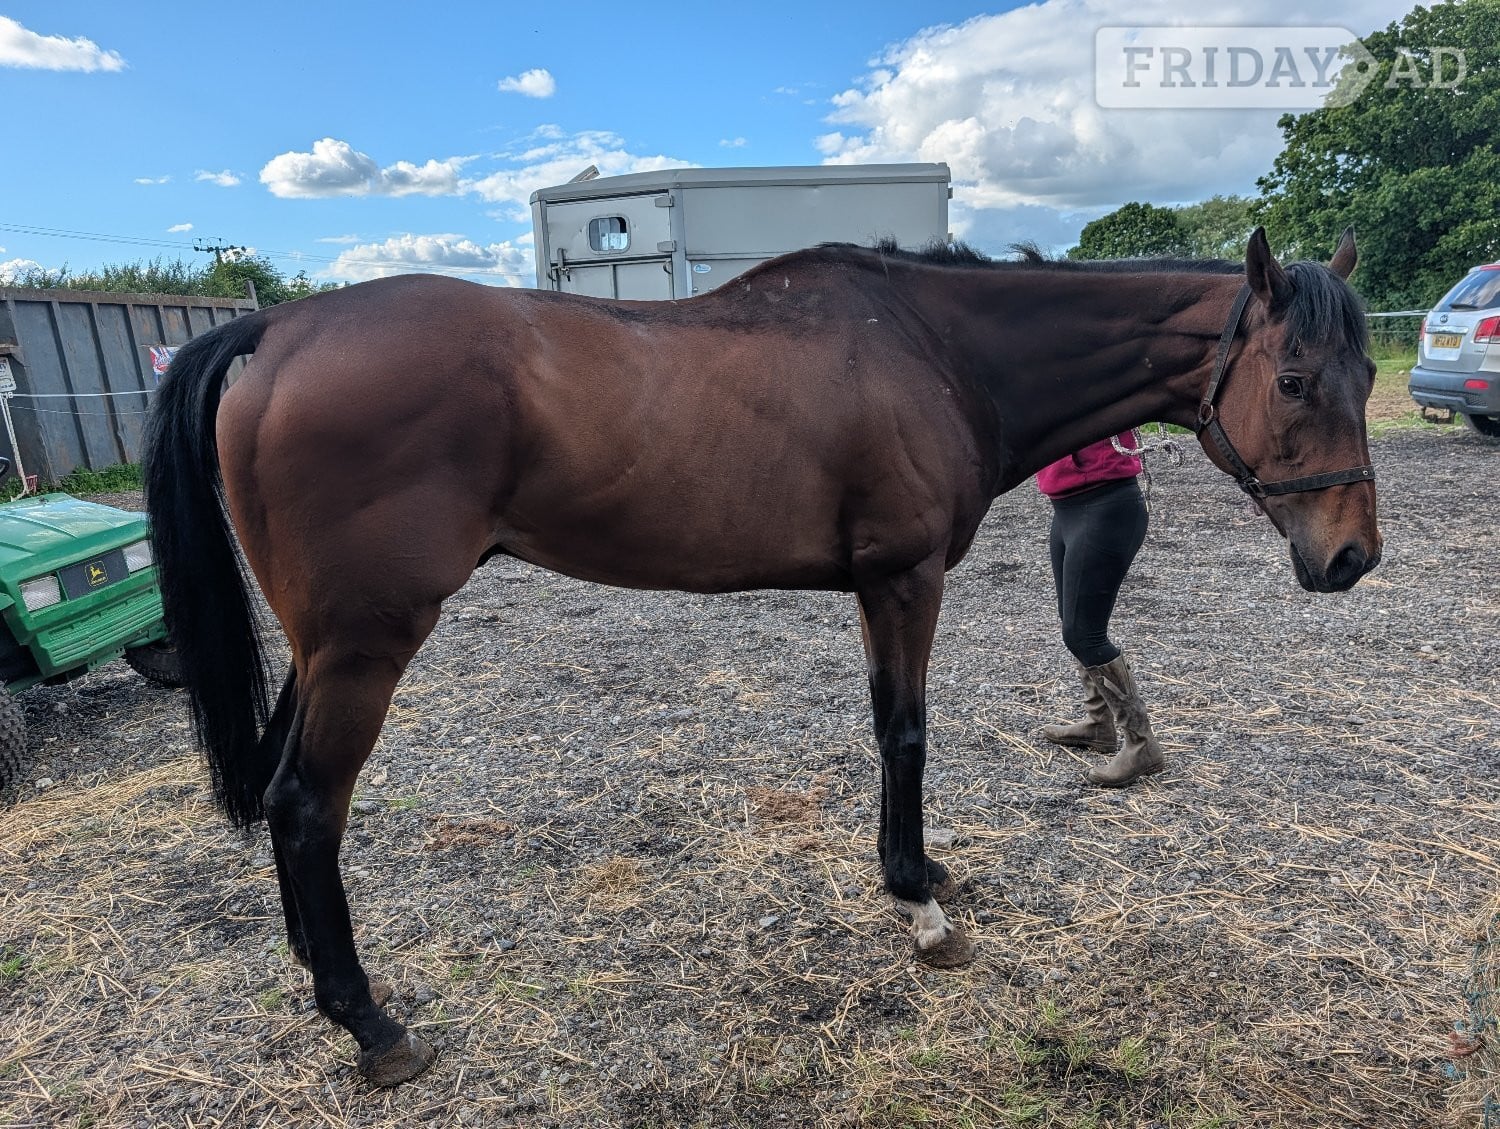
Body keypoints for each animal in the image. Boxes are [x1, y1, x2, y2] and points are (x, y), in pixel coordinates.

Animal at [143, 227, 1379, 1086]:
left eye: (1365, 378)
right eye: (1295, 379)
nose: (1352, 555)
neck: (937, 348)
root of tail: (278, 333)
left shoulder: (877, 588)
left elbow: (886, 727)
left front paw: (918, 875)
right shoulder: (904, 579)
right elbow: (904, 732)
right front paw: (917, 900)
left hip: (320, 646)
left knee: (283, 796)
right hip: (366, 644)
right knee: (308, 805)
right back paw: (370, 1021)